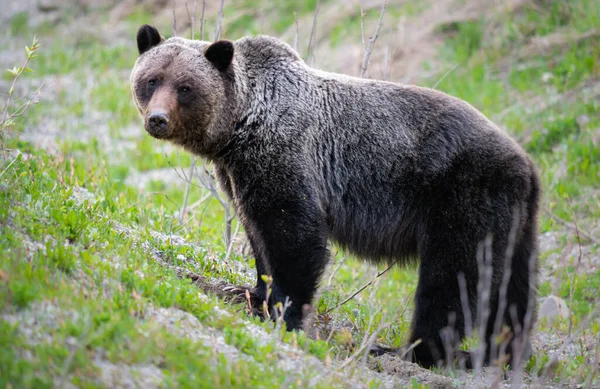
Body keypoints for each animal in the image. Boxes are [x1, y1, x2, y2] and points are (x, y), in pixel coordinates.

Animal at [130, 22, 540, 368]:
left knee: (453, 277)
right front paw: (252, 293)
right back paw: (501, 352)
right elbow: (258, 233)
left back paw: (411, 351)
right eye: (151, 80)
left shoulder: (285, 153)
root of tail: (528, 165)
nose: (157, 119)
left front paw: (285, 313)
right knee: (513, 289)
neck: (240, 127)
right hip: (515, 221)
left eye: (185, 87)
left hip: (463, 195)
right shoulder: (237, 173)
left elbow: (293, 232)